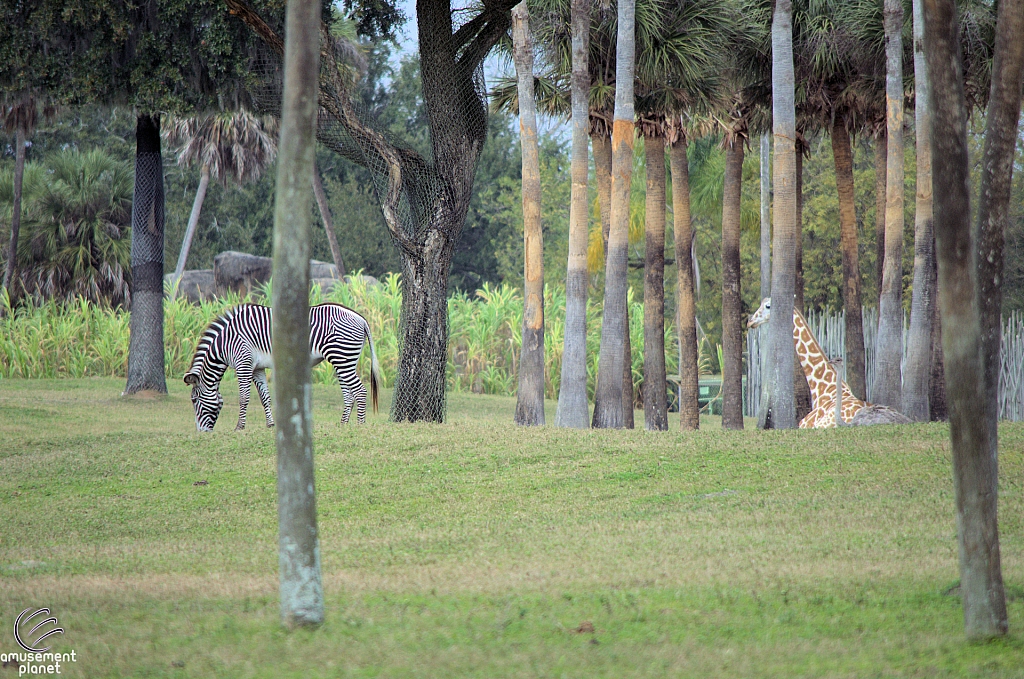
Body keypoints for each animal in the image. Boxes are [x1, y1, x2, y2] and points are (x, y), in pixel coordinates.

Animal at [183, 305, 380, 432]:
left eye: (193, 400)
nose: (200, 432)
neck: (225, 344)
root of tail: (361, 319)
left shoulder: (243, 363)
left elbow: (244, 398)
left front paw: (239, 427)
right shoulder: (257, 368)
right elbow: (265, 398)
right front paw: (270, 424)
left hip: (342, 357)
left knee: (360, 391)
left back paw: (360, 425)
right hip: (344, 360)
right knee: (349, 394)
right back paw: (343, 424)